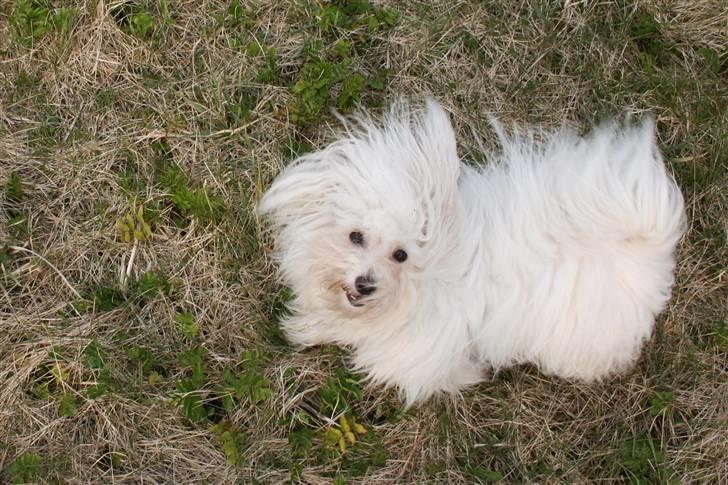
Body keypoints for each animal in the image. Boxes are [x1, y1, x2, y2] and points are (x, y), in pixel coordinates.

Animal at [258, 99, 684, 404]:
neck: (420, 284)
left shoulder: (425, 348)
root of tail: (649, 239)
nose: (365, 284)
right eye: (356, 236)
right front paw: (306, 327)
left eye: (401, 255)